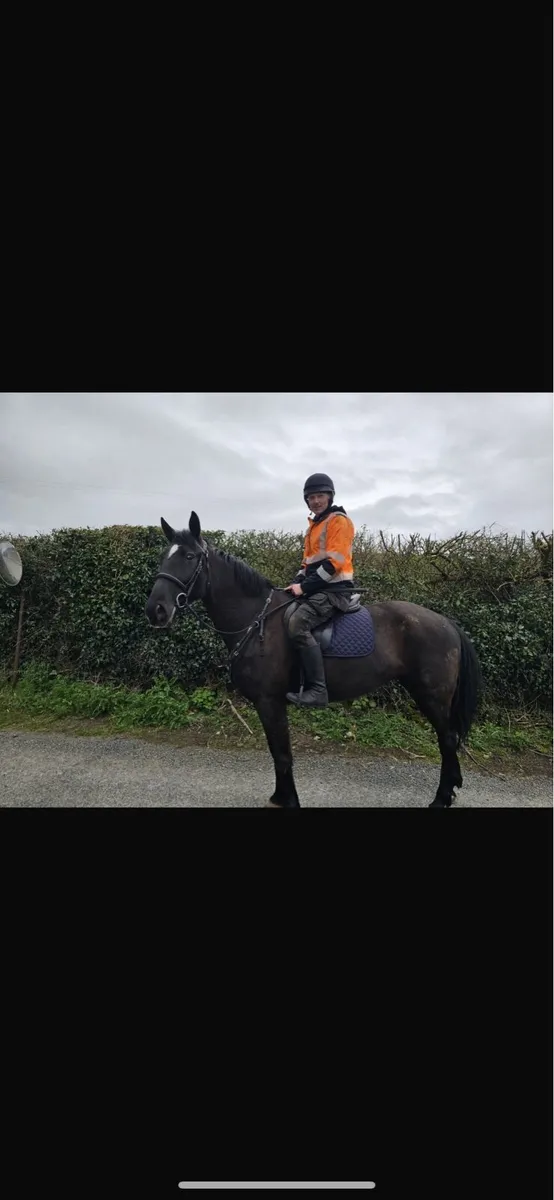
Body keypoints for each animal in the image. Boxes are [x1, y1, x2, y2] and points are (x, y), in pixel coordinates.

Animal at [145, 513, 483, 809]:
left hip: (432, 696)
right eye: (164, 556)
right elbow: (277, 752)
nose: (156, 610)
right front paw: (280, 796)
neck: (257, 620)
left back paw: (441, 797)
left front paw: (289, 800)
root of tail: (446, 622)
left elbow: (282, 754)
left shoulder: (269, 702)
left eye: (190, 557)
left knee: (447, 739)